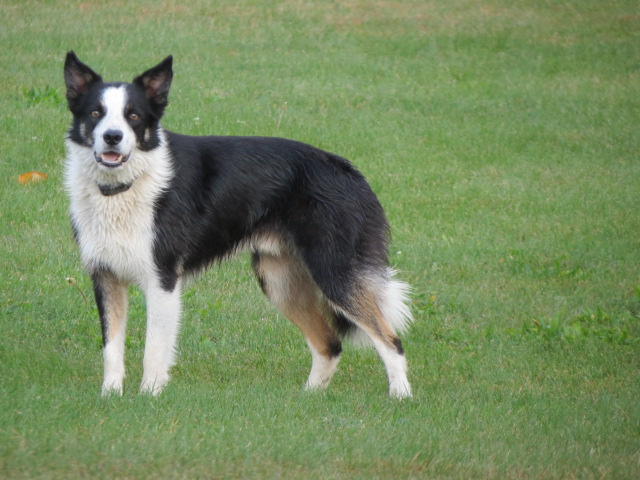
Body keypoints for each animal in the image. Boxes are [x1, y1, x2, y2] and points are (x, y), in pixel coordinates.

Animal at [65, 51, 412, 398]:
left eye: (134, 116)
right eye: (95, 113)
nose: (112, 137)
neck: (126, 186)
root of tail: (351, 173)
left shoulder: (162, 278)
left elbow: (154, 348)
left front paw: (150, 395)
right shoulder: (105, 276)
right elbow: (111, 347)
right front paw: (110, 396)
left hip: (334, 272)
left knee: (390, 340)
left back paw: (401, 396)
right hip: (279, 281)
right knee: (329, 343)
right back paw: (310, 396)